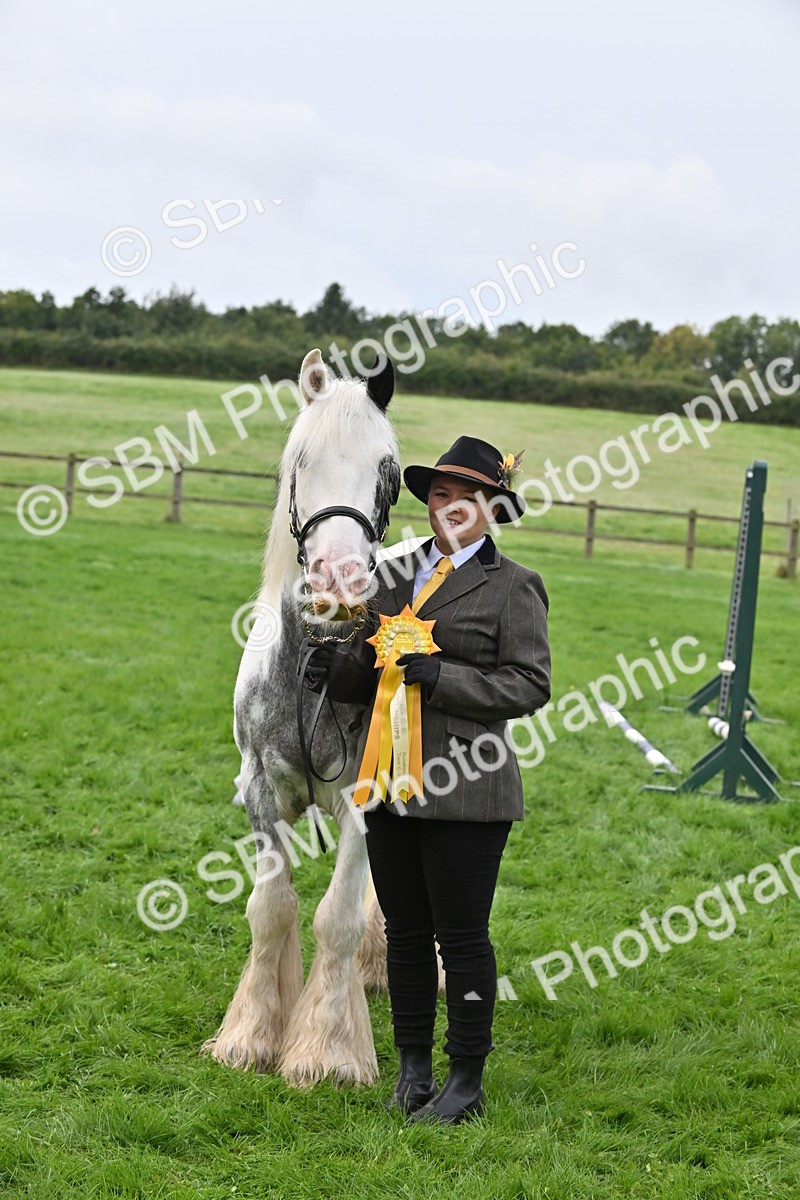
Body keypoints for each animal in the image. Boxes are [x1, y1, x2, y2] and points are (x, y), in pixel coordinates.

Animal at [203, 348, 404, 1086]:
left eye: (388, 471)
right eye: (302, 462)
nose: (336, 583)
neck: (318, 661)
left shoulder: (365, 800)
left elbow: (337, 917)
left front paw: (329, 1050)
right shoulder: (261, 794)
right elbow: (271, 910)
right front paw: (250, 1036)